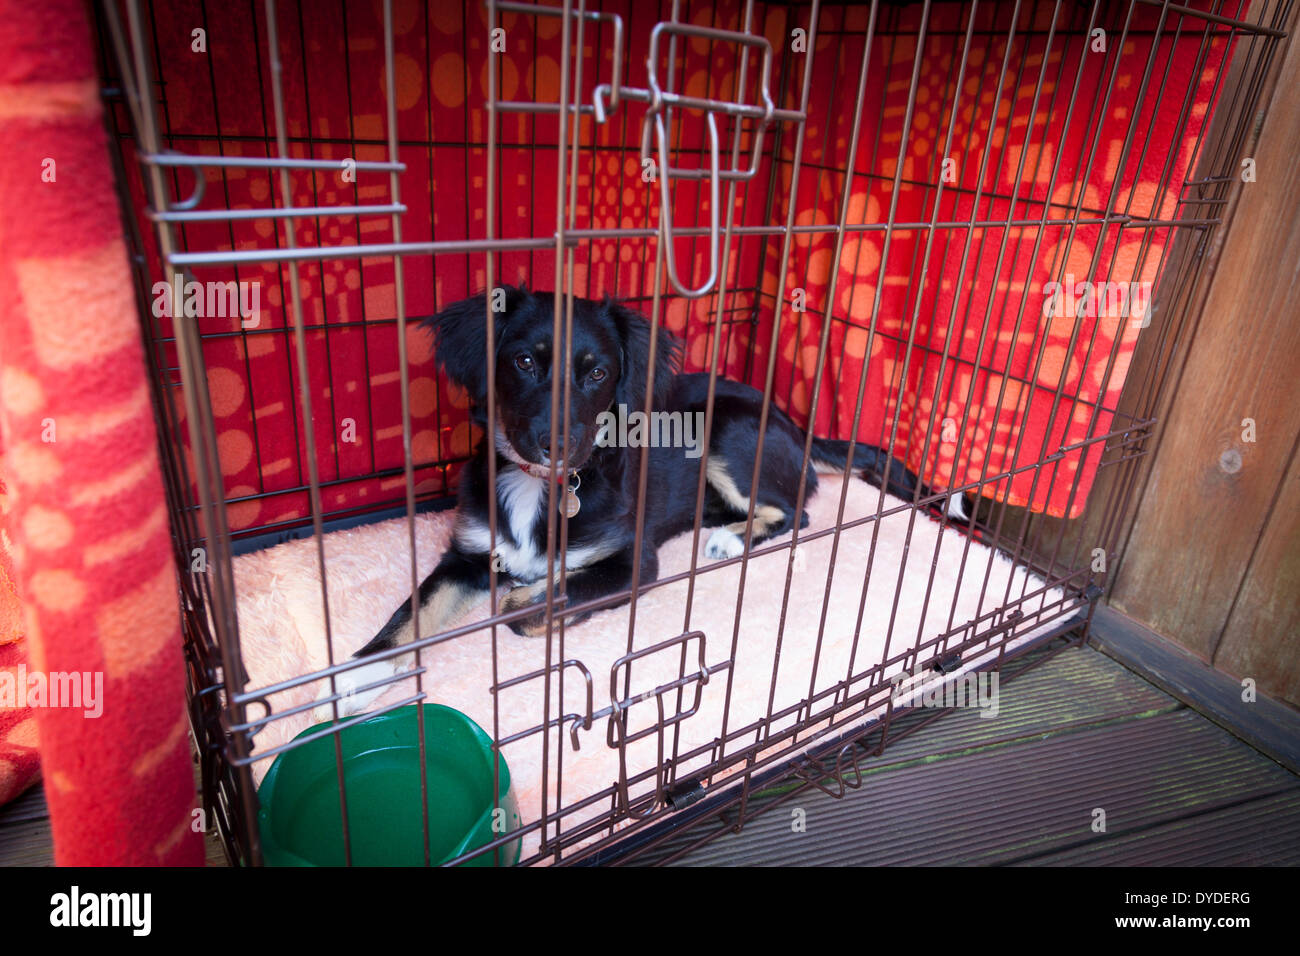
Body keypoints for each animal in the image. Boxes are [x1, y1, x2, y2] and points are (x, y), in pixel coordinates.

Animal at [332, 287, 925, 712]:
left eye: (597, 372)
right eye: (523, 362)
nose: (557, 443)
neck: (538, 484)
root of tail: (795, 424)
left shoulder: (634, 561)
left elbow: (531, 603)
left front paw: (532, 593)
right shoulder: (468, 554)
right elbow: (411, 613)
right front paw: (359, 677)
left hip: (725, 429)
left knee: (795, 508)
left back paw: (730, 539)